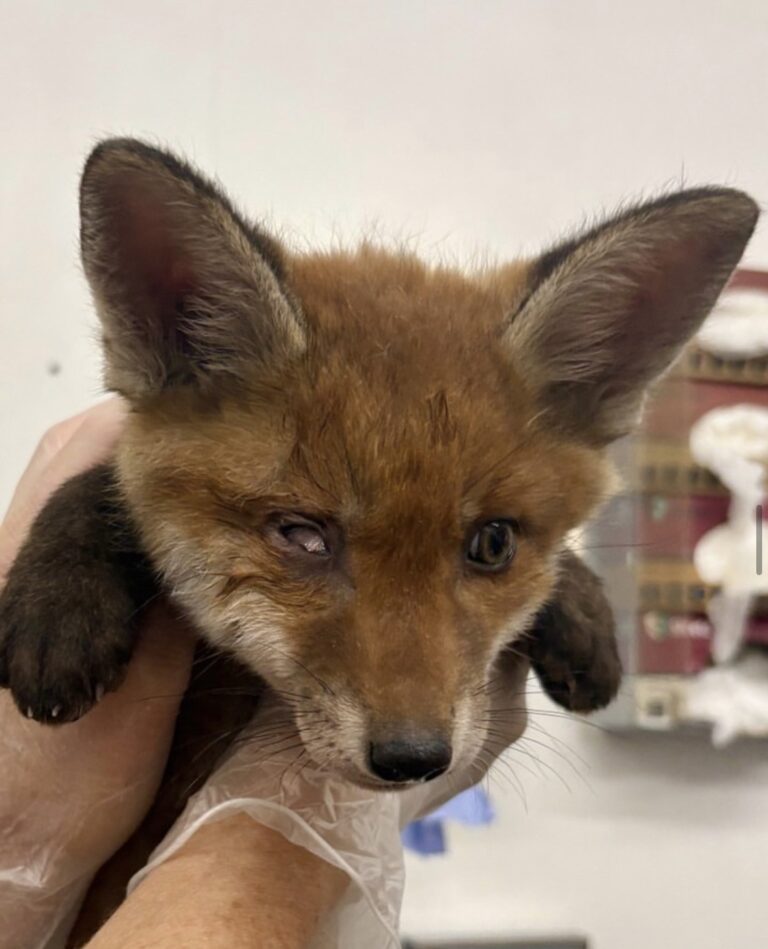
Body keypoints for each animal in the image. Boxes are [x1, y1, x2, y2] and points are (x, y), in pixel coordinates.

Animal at [0, 139, 758, 938]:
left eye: (493, 543)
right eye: (303, 536)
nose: (413, 757)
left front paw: (581, 610)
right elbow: (98, 484)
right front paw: (59, 605)